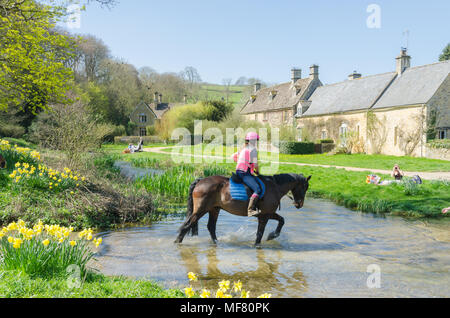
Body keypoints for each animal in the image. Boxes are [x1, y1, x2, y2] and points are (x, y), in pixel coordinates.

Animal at [174, 174, 312, 246]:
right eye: (304, 187)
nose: (299, 204)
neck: (275, 187)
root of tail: (200, 181)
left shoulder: (268, 214)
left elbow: (282, 220)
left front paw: (272, 235)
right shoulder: (264, 216)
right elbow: (260, 233)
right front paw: (258, 244)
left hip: (214, 209)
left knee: (211, 227)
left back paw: (216, 243)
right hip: (201, 210)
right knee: (186, 226)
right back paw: (177, 242)